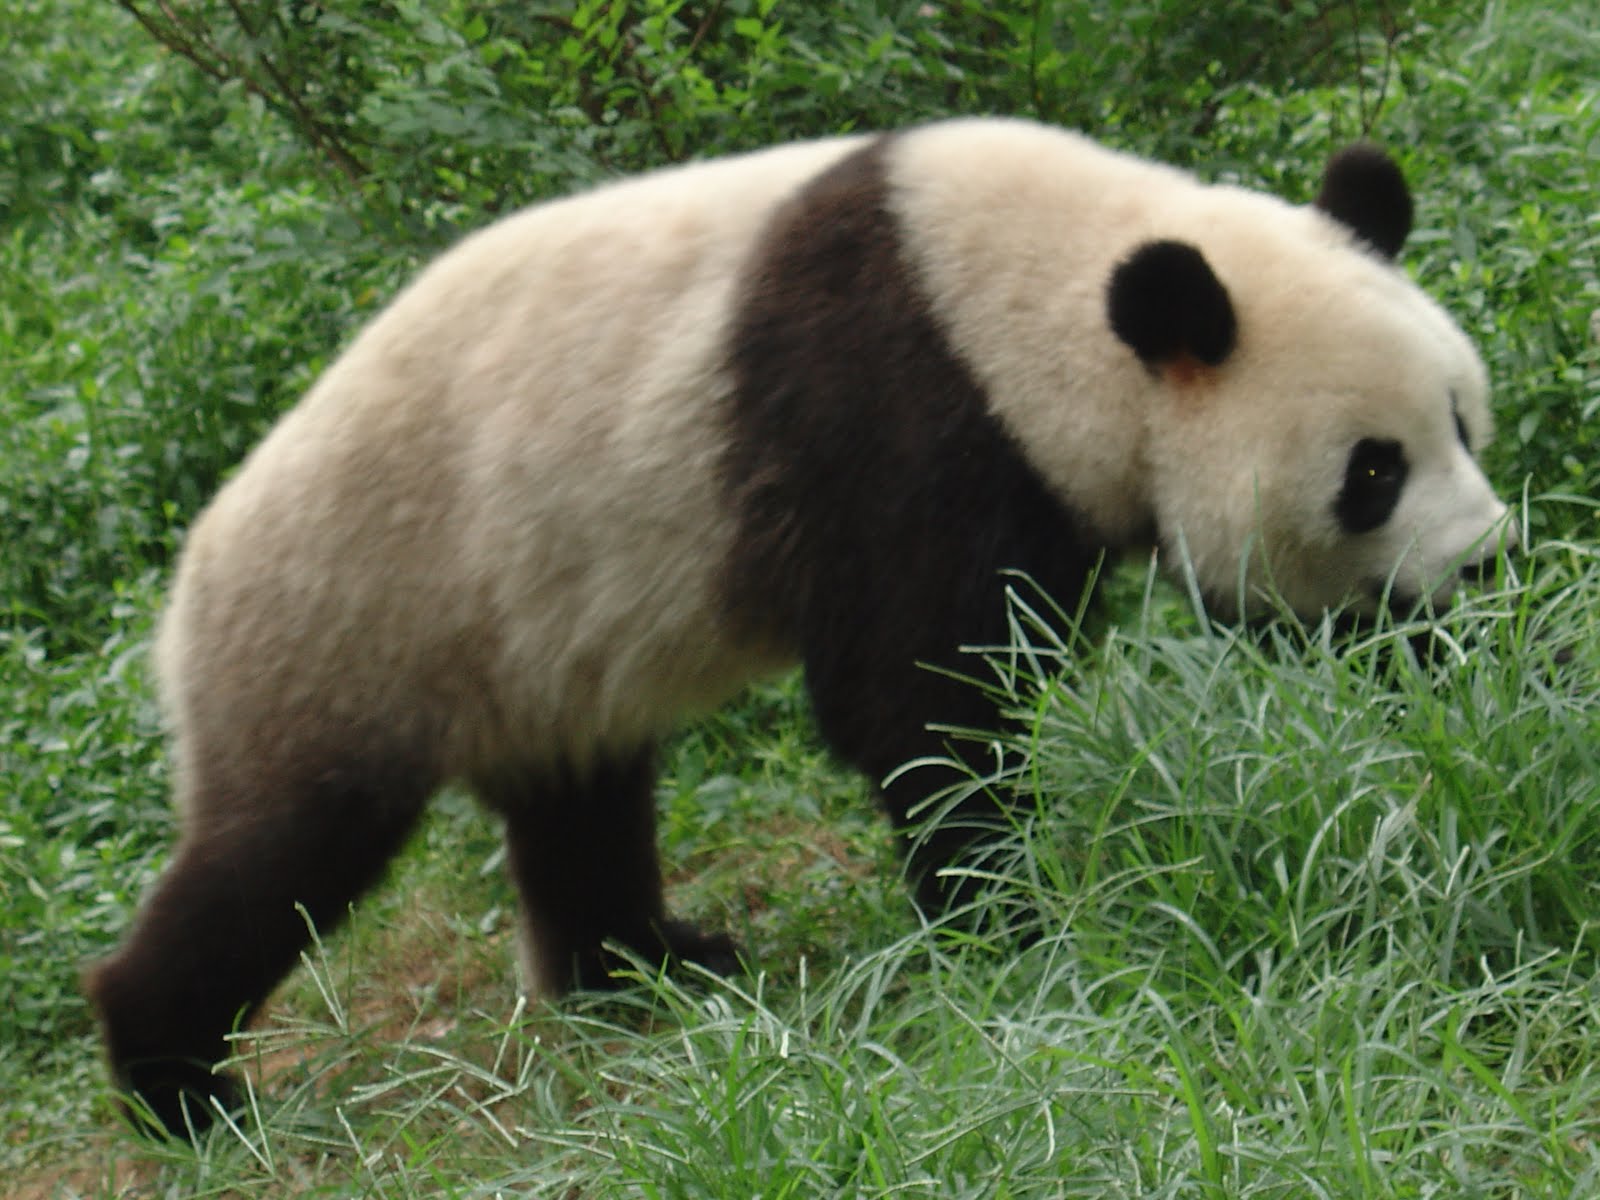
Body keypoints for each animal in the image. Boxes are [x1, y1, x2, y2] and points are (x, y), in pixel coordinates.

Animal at [85, 116, 1511, 1136]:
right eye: (1370, 470)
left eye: (1460, 416)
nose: (1485, 561)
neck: (1041, 293)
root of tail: (185, 579)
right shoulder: (897, 415)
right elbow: (917, 696)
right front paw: (1010, 924)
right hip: (357, 617)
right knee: (282, 851)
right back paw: (180, 1086)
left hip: (527, 645)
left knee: (577, 796)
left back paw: (649, 965)